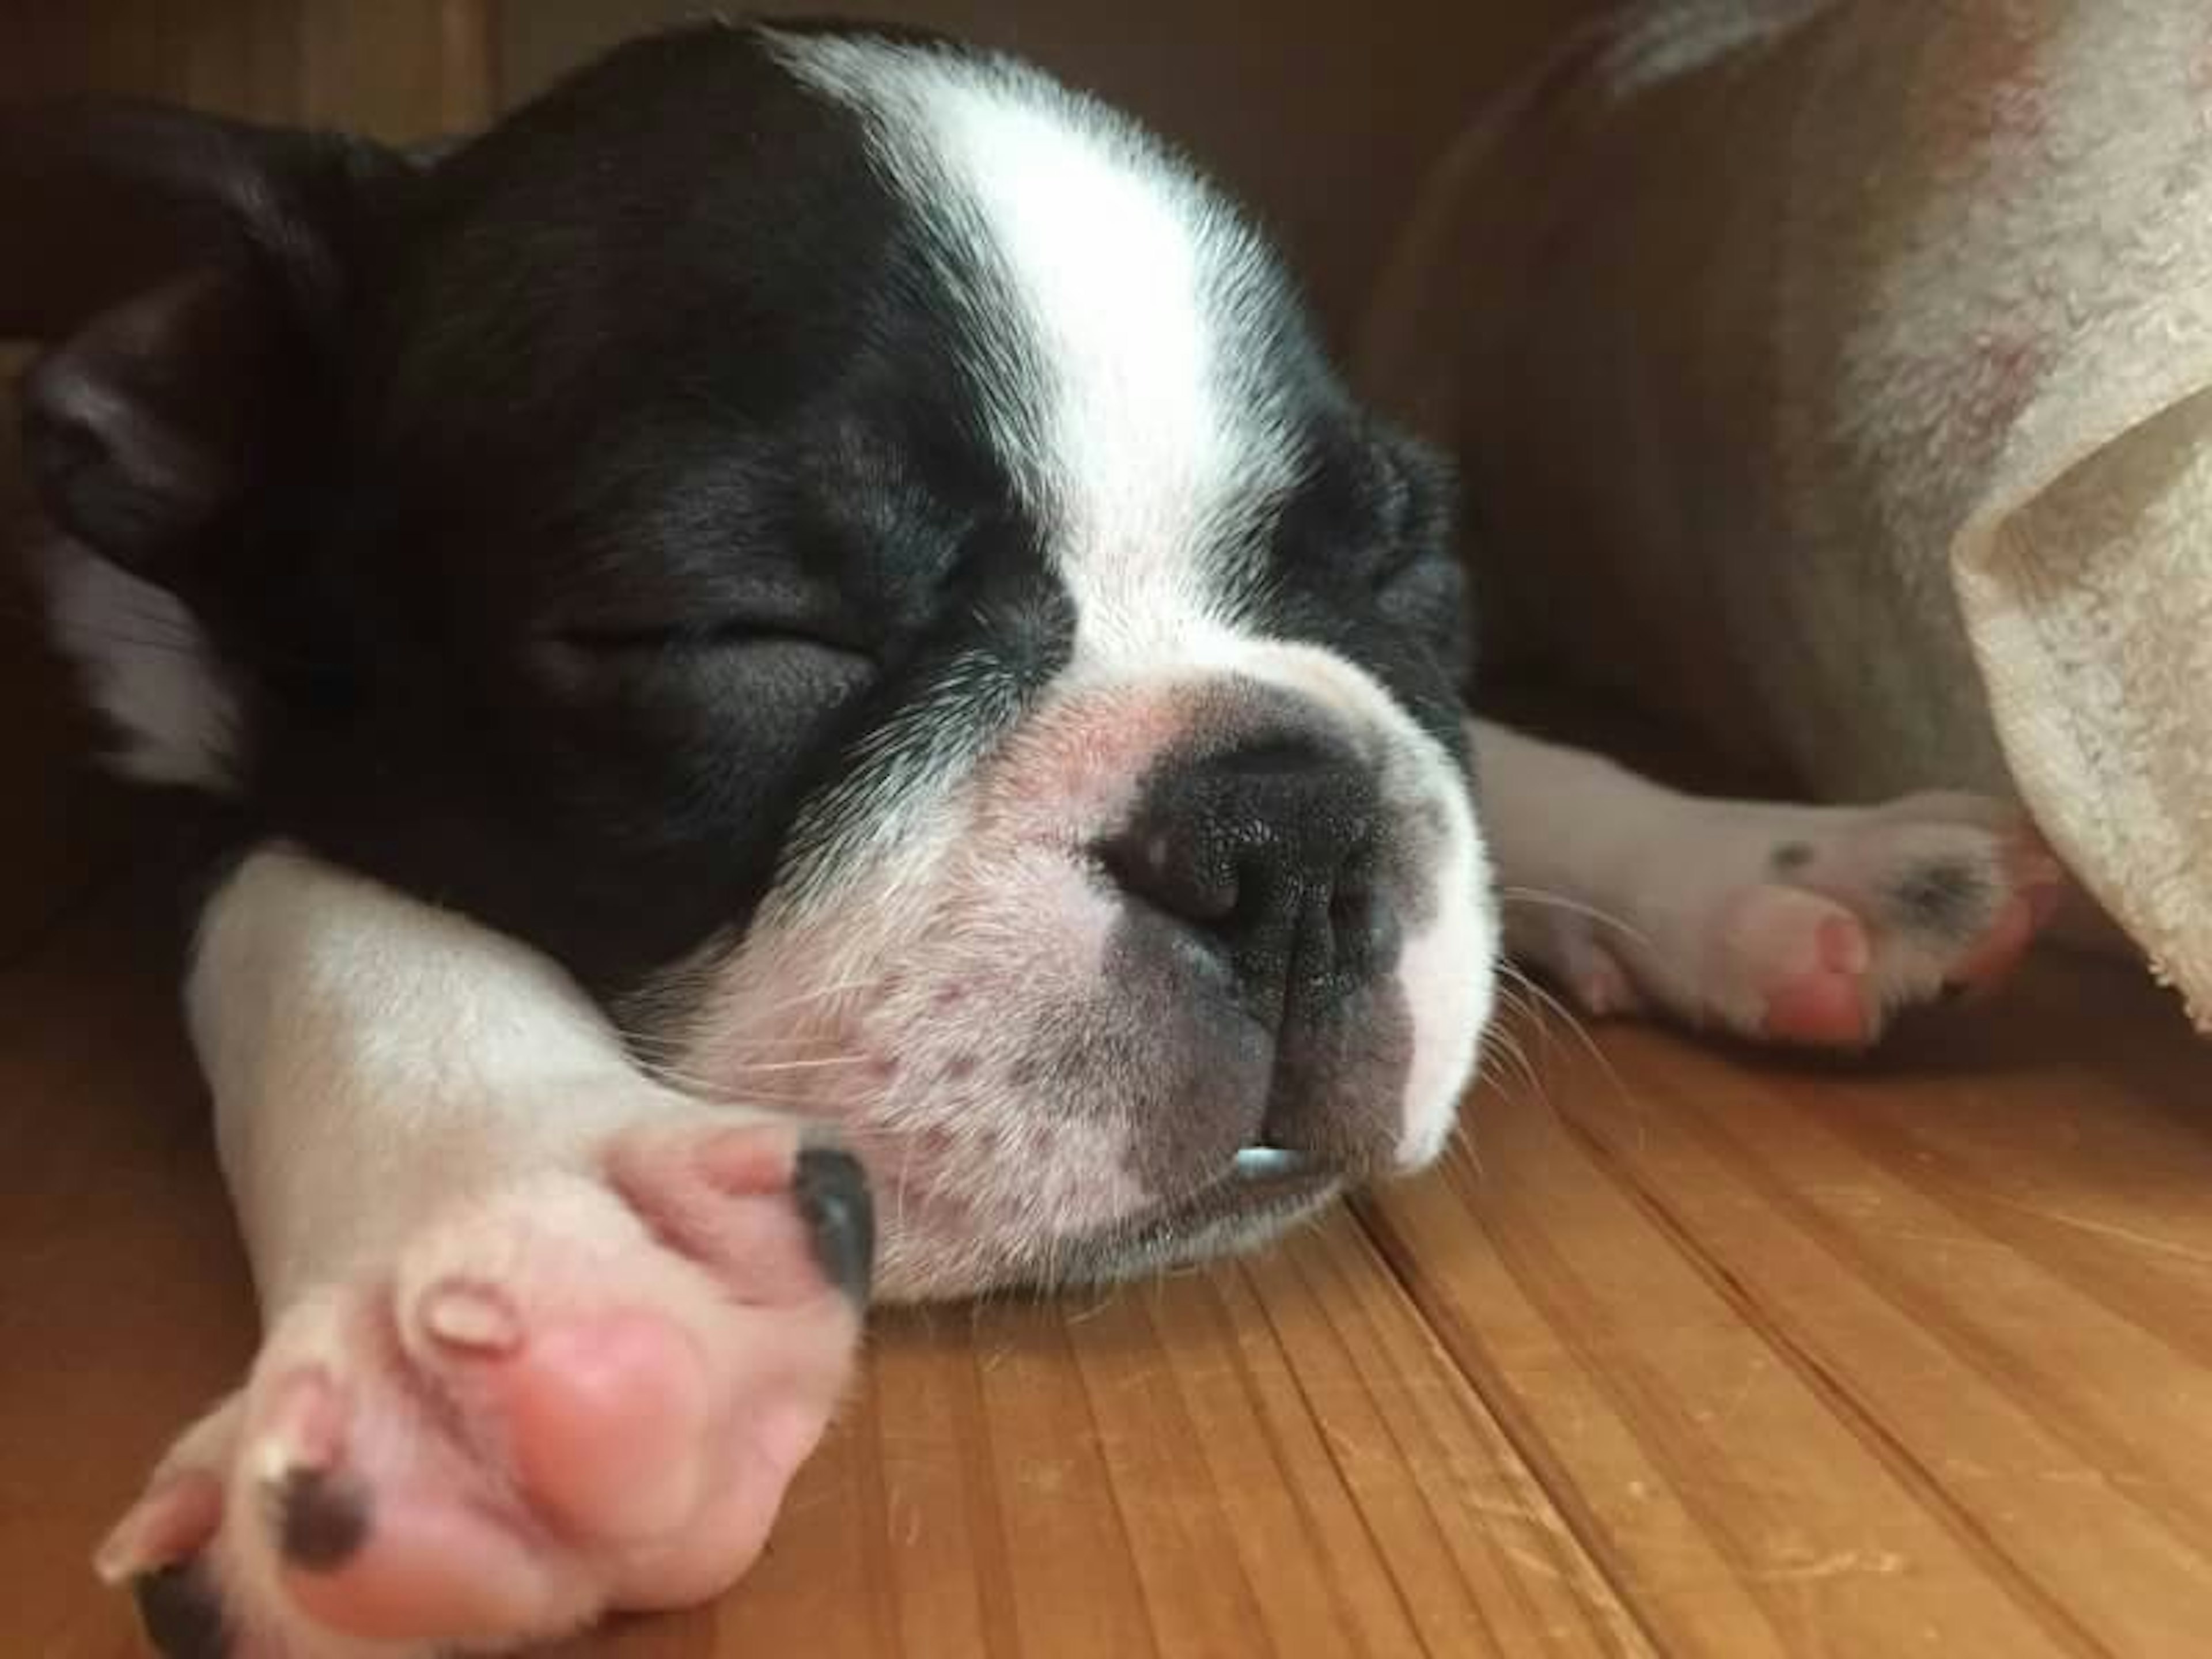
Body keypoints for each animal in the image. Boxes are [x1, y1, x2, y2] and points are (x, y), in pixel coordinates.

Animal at [13, 16, 2052, 1659]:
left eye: (1403, 557)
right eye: (729, 629)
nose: (1280, 838)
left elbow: (1472, 763)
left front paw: (1779, 860)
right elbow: (326, 904)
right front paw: (507, 1243)